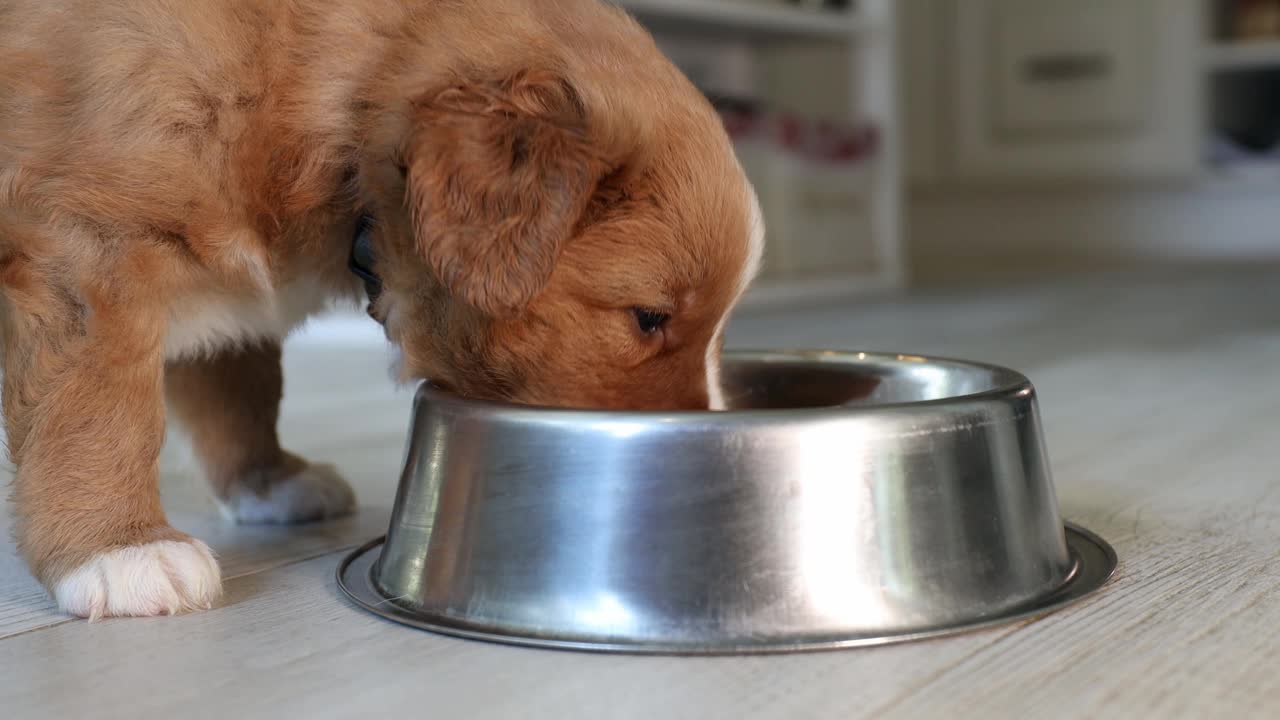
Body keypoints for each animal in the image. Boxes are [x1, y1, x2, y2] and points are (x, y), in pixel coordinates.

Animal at [0, 0, 757, 617]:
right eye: (649, 318)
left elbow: (239, 386)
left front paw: (267, 481)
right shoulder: (91, 253)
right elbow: (102, 411)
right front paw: (119, 548)